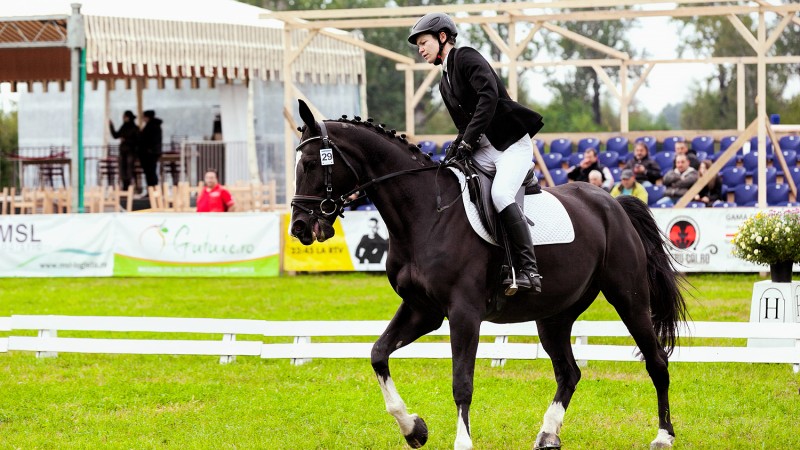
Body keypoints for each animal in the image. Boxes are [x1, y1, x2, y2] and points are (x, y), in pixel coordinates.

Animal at [289, 100, 687, 450]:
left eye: (309, 163)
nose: (300, 228)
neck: (425, 215)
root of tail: (612, 203)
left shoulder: (464, 313)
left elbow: (461, 382)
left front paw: (461, 442)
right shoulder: (423, 310)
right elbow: (378, 354)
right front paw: (414, 429)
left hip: (628, 298)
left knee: (656, 361)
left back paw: (663, 436)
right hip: (554, 315)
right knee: (569, 372)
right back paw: (548, 434)